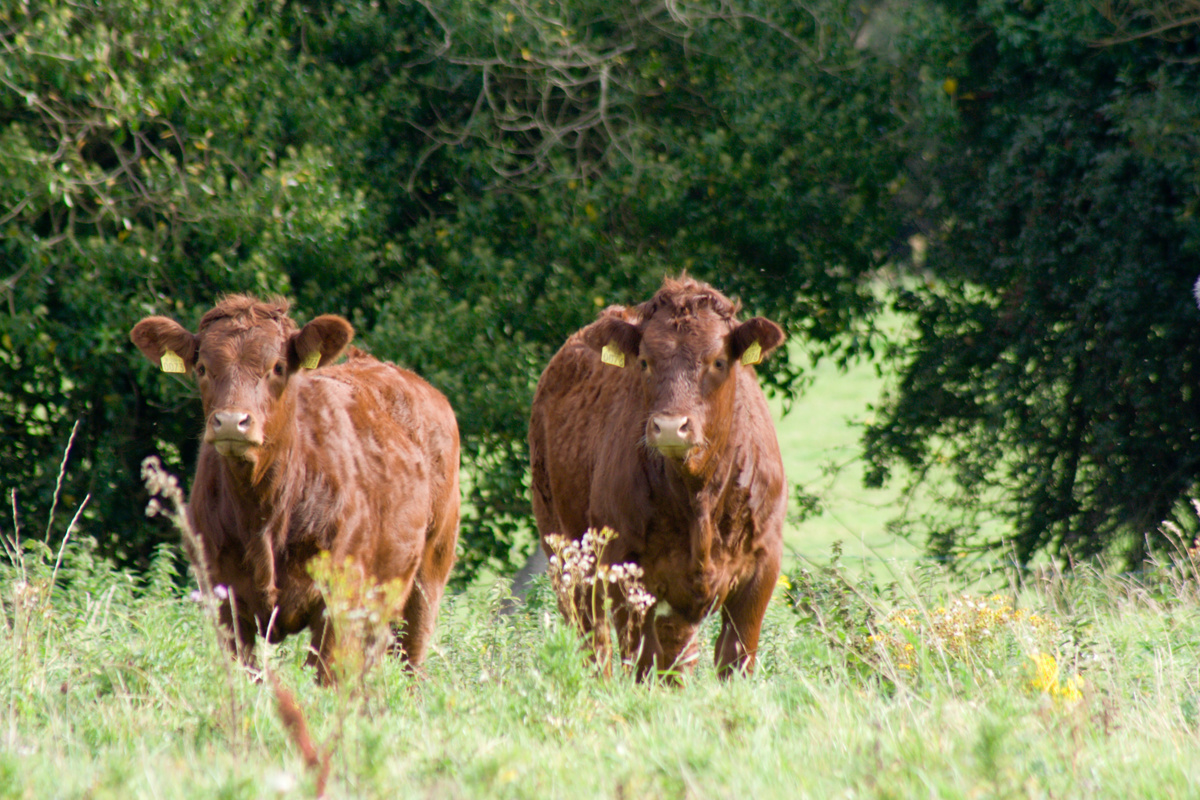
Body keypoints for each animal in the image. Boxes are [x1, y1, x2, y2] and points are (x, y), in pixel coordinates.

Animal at [131, 293, 458, 681]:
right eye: (202, 368)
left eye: (277, 367)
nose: (231, 422)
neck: (262, 511)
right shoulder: (223, 597)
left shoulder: (339, 597)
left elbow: (327, 677)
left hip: (428, 575)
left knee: (411, 664)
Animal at [532, 275, 792, 676]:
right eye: (644, 362)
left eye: (718, 361)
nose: (670, 427)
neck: (698, 495)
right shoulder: (624, 568)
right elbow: (643, 661)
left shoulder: (762, 566)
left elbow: (735, 658)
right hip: (565, 553)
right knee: (594, 640)